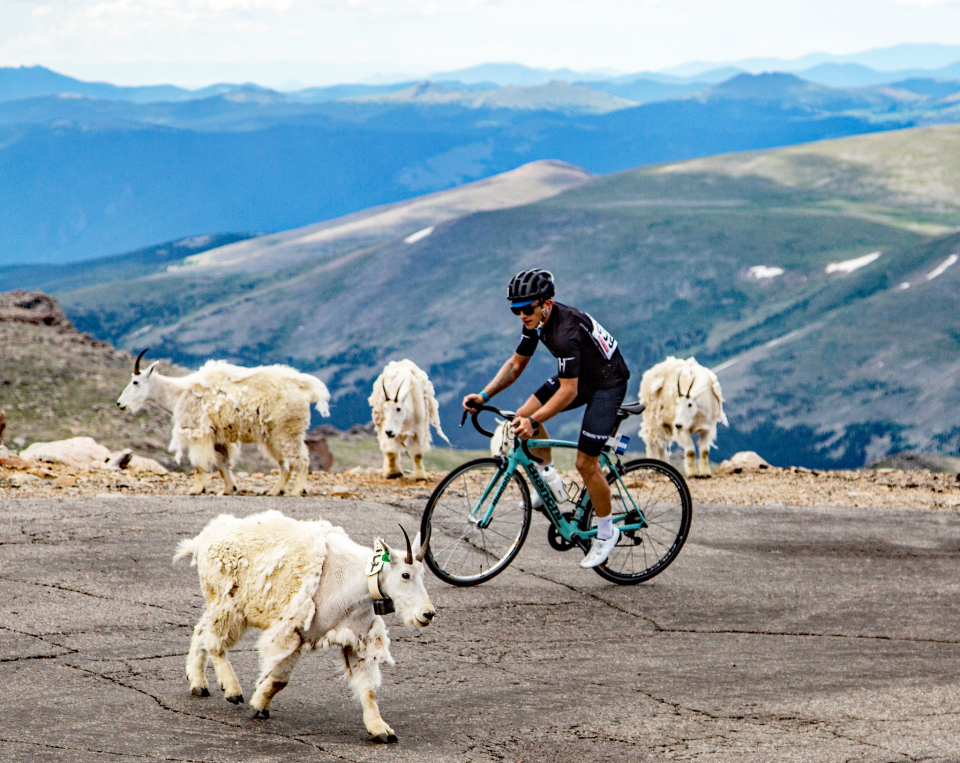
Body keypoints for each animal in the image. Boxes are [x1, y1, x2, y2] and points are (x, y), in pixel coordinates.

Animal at [116, 350, 330, 498]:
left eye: (135, 382)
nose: (120, 404)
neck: (178, 393)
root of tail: (305, 389)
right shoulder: (218, 438)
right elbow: (222, 464)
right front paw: (228, 489)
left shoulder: (198, 433)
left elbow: (200, 464)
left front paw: (196, 489)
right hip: (273, 436)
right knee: (285, 464)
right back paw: (275, 491)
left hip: (287, 431)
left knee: (301, 460)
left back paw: (296, 491)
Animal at [173, 510, 436, 744]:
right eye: (405, 575)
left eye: (423, 574)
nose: (428, 614)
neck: (354, 584)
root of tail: (206, 537)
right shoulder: (296, 632)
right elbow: (280, 679)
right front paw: (258, 706)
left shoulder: (358, 638)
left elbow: (368, 690)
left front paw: (381, 730)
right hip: (227, 600)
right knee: (215, 640)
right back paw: (232, 690)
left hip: (221, 602)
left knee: (201, 629)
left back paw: (198, 683)